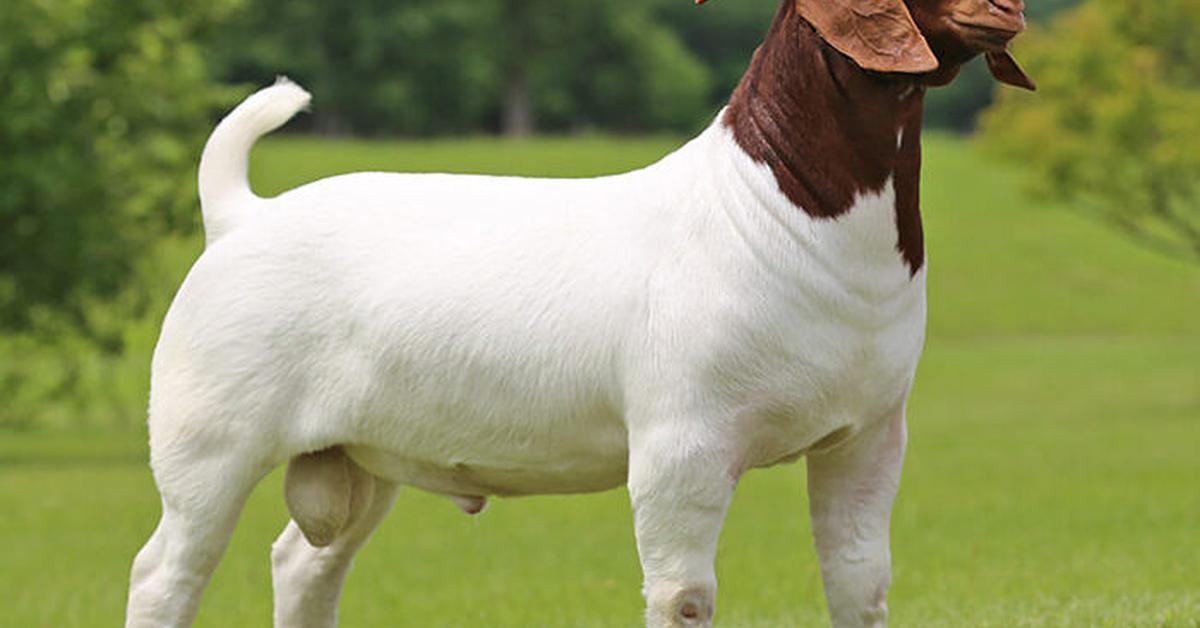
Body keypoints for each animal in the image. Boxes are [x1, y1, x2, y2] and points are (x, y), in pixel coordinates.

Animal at [126, 1, 1036, 628]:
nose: (1009, 8)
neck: (770, 208)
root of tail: (241, 215)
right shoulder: (680, 449)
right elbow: (683, 597)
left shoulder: (868, 439)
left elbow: (858, 585)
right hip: (209, 444)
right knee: (165, 573)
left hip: (361, 457)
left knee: (303, 567)